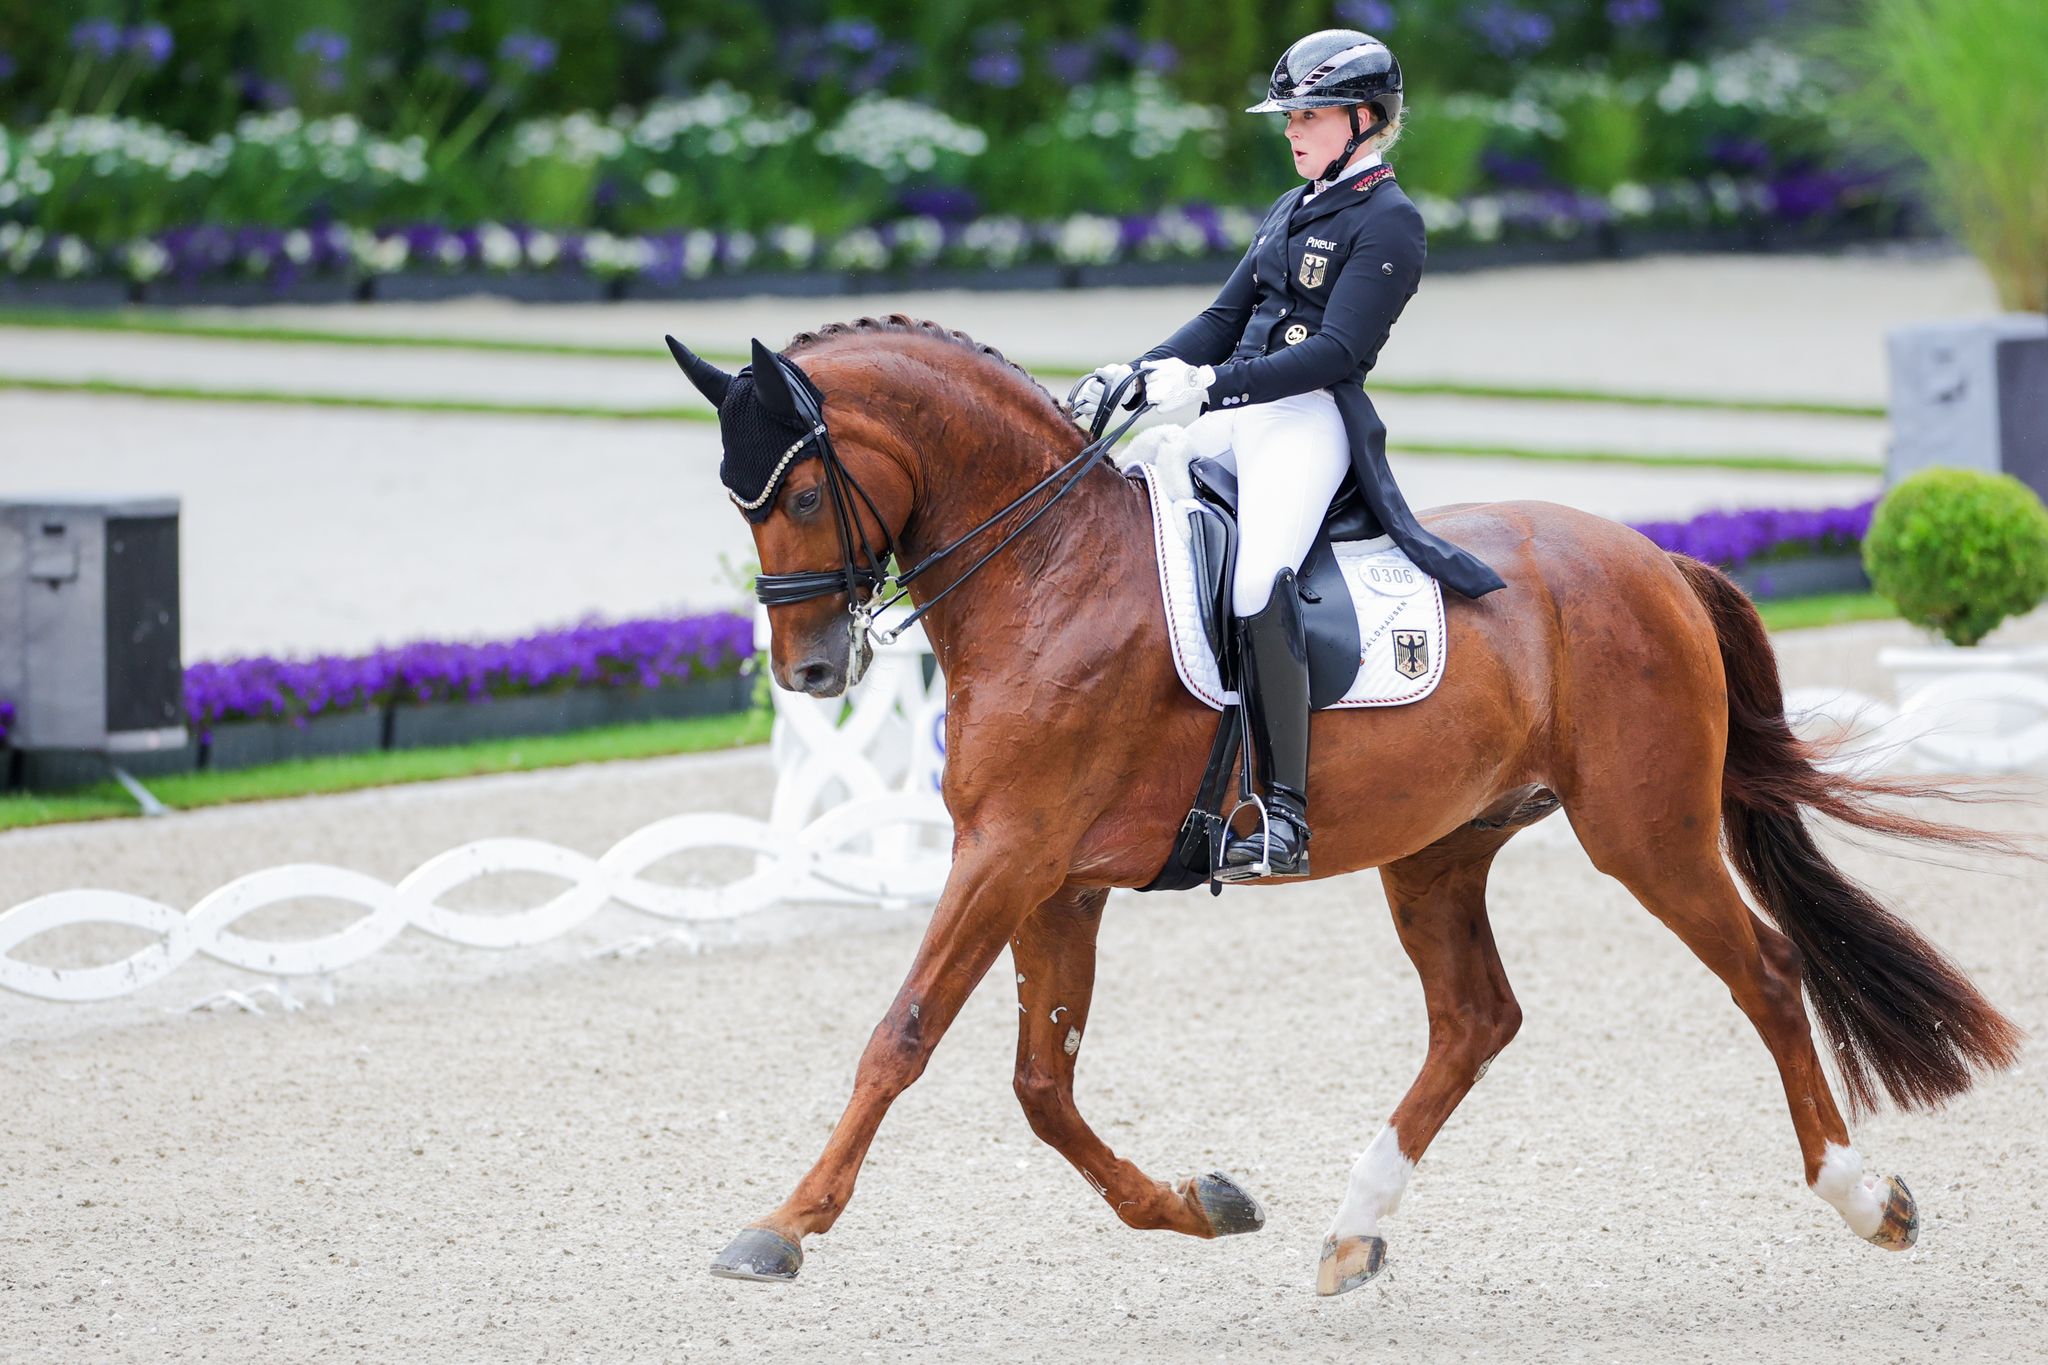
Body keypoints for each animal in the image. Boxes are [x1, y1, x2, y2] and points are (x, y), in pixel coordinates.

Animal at [667, 315, 2015, 1301]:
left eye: (796, 496)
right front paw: (1195, 1206)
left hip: (1644, 832)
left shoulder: (1007, 858)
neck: (1046, 572)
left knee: (1766, 973)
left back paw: (1865, 1199)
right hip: (1440, 848)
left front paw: (782, 1225)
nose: (810, 673)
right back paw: (1352, 1229)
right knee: (1473, 1019)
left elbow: (901, 1037)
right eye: (738, 502)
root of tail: (1652, 559)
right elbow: (1041, 1086)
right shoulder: (1057, 880)